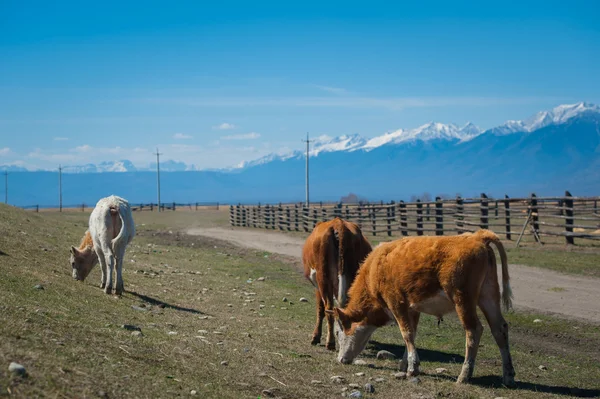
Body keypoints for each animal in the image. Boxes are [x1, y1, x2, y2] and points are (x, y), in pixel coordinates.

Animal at [302, 217, 372, 352]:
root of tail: (338, 223)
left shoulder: (318, 287)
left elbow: (320, 309)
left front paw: (316, 337)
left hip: (323, 278)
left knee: (329, 308)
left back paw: (330, 342)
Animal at [328, 231, 516, 388]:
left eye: (339, 332)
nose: (340, 359)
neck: (376, 269)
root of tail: (477, 236)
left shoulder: (397, 304)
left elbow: (406, 333)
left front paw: (413, 368)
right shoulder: (413, 309)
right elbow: (412, 334)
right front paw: (405, 364)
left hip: (463, 299)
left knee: (474, 330)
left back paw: (464, 375)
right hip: (488, 296)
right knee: (499, 329)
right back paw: (508, 375)